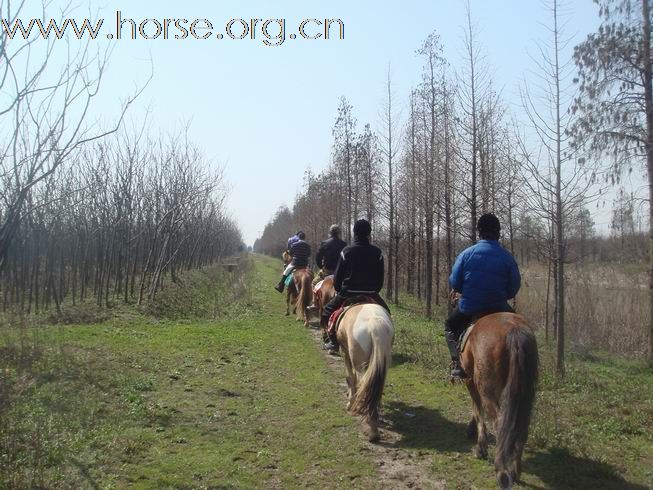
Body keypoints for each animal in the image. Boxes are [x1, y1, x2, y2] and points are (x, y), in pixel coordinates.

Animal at [336, 304, 392, 442]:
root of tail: (374, 322)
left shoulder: (344, 352)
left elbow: (350, 377)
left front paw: (350, 403)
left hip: (360, 365)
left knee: (363, 384)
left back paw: (372, 429)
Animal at [458, 312, 536, 488]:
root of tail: (514, 329)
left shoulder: (470, 380)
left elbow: (477, 408)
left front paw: (480, 448)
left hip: (486, 387)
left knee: (499, 421)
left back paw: (501, 470)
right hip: (525, 393)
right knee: (521, 426)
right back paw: (515, 470)